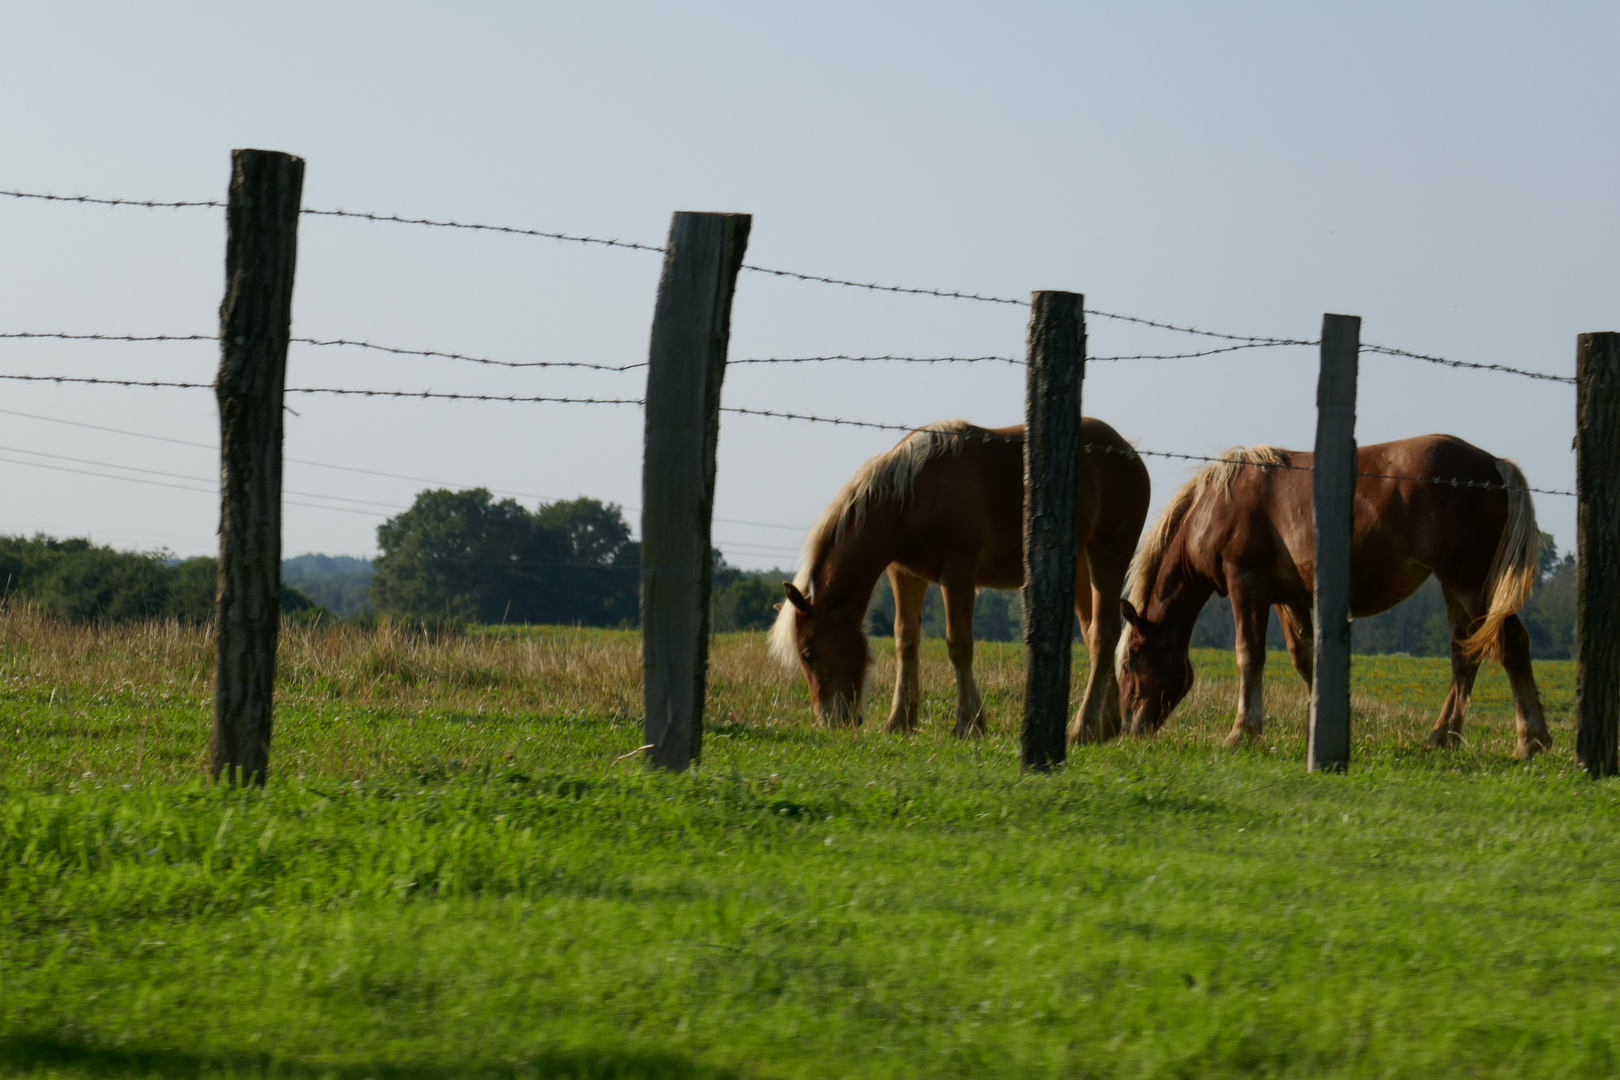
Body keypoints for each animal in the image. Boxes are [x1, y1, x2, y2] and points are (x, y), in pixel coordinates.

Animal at [771, 417, 1153, 738]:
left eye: (809, 652)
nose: (829, 720)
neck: (912, 495)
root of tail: (1129, 453)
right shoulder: (905, 575)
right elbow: (905, 640)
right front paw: (900, 720)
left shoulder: (958, 575)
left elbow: (959, 646)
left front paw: (969, 722)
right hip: (1079, 570)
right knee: (1097, 633)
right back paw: (1107, 724)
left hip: (1108, 557)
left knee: (1102, 636)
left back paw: (1083, 727)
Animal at [1121, 433, 1548, 757]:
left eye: (1128, 661)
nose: (1127, 728)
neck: (1214, 507)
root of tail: (1494, 465)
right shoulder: (1288, 598)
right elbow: (1305, 658)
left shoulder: (1246, 584)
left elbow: (1249, 656)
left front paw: (1242, 730)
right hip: (1452, 587)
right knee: (1464, 656)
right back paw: (1442, 737)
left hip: (1471, 584)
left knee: (1513, 645)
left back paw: (1531, 739)